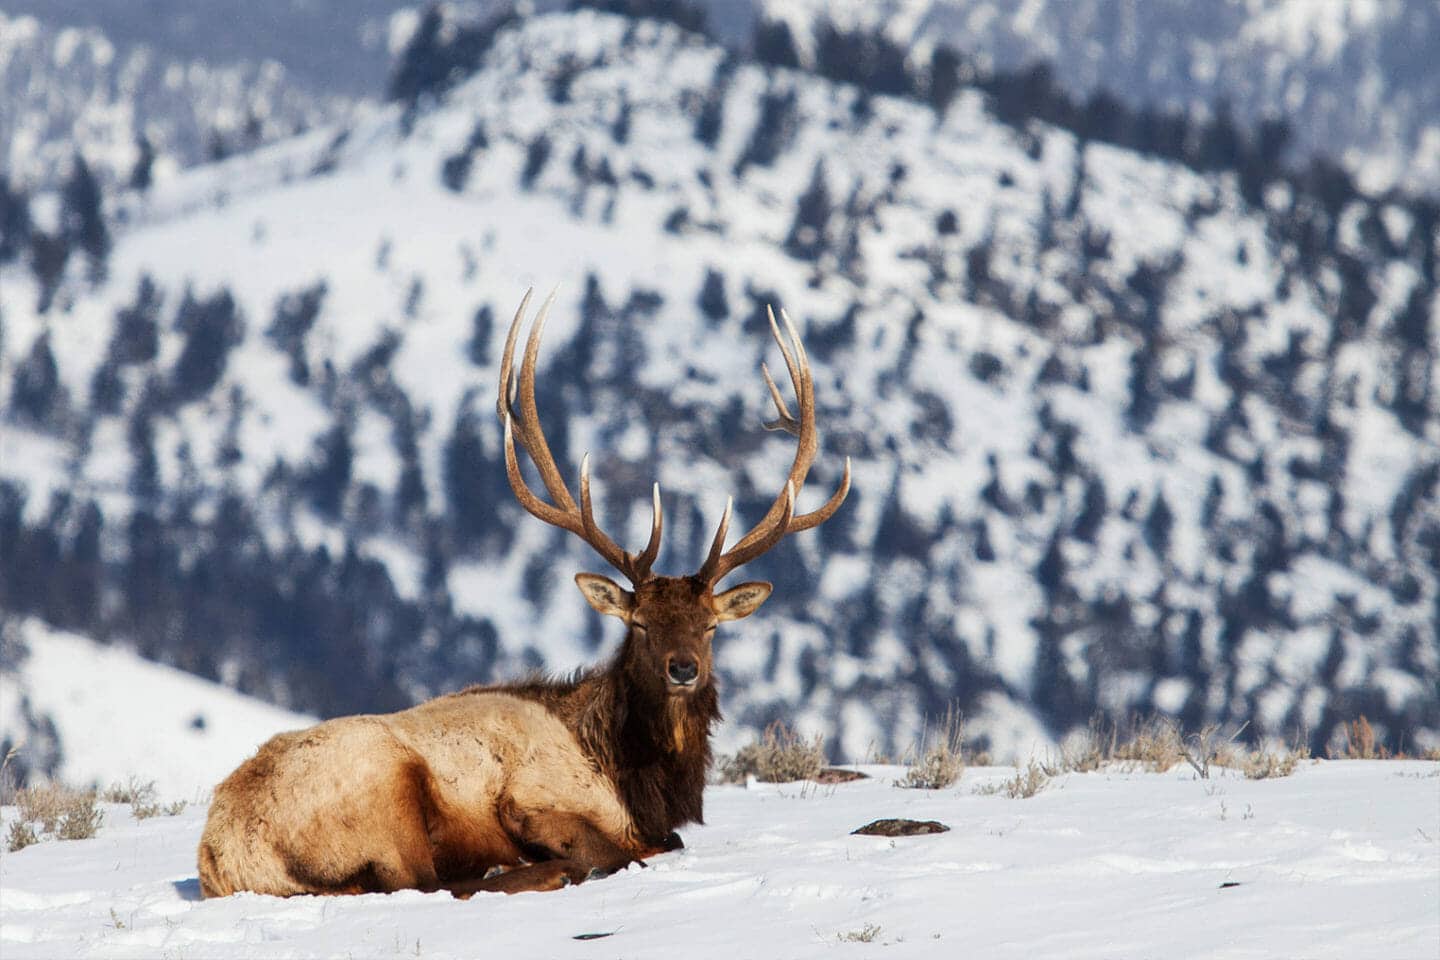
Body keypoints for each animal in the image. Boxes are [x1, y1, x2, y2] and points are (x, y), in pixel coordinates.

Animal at [197, 289, 846, 898]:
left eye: (710, 627)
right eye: (638, 624)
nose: (683, 669)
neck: (631, 778)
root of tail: (223, 857)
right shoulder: (532, 800)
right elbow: (632, 850)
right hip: (385, 783)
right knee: (427, 881)